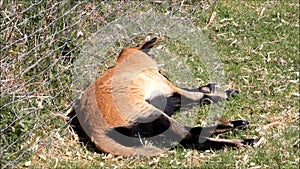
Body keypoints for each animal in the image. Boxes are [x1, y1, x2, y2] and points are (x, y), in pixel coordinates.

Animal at [74, 37, 255, 156]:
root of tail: (95, 133)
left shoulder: (166, 97)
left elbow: (198, 94)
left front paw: (211, 87)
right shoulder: (168, 88)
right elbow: (199, 96)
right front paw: (225, 93)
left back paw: (235, 126)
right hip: (154, 116)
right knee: (192, 137)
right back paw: (241, 139)